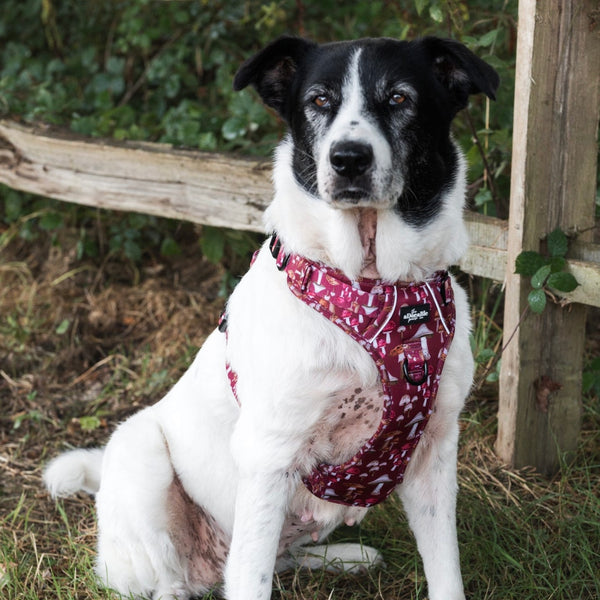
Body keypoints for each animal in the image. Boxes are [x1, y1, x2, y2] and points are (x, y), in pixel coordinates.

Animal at [45, 35, 496, 596]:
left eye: (399, 98)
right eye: (319, 100)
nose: (348, 159)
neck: (373, 289)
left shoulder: (433, 451)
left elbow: (446, 571)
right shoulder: (269, 457)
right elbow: (252, 578)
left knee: (273, 561)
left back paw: (345, 557)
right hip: (141, 453)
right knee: (186, 577)